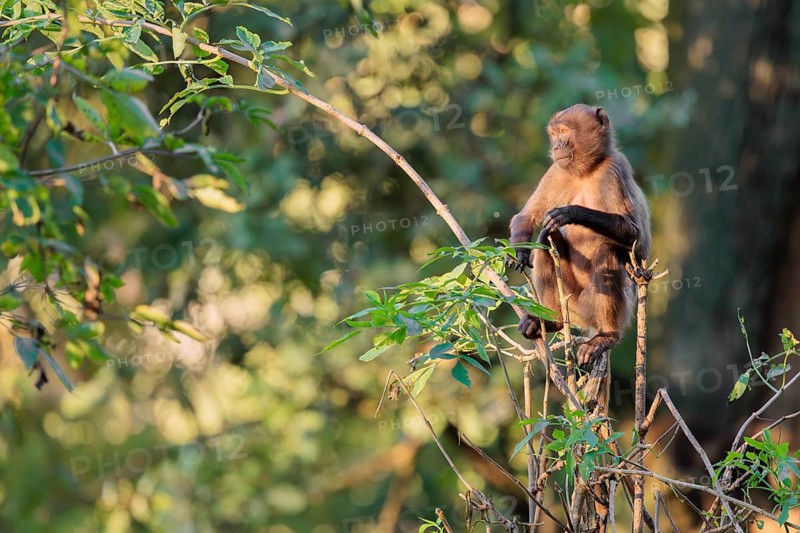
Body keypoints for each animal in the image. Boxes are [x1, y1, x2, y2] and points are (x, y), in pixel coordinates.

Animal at [507, 104, 651, 366]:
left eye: (564, 132)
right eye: (554, 134)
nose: (557, 147)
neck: (587, 171)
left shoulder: (615, 169)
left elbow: (637, 239)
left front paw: (570, 213)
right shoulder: (557, 170)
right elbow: (526, 217)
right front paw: (519, 251)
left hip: (600, 304)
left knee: (608, 251)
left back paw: (606, 336)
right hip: (571, 302)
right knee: (546, 240)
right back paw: (551, 321)